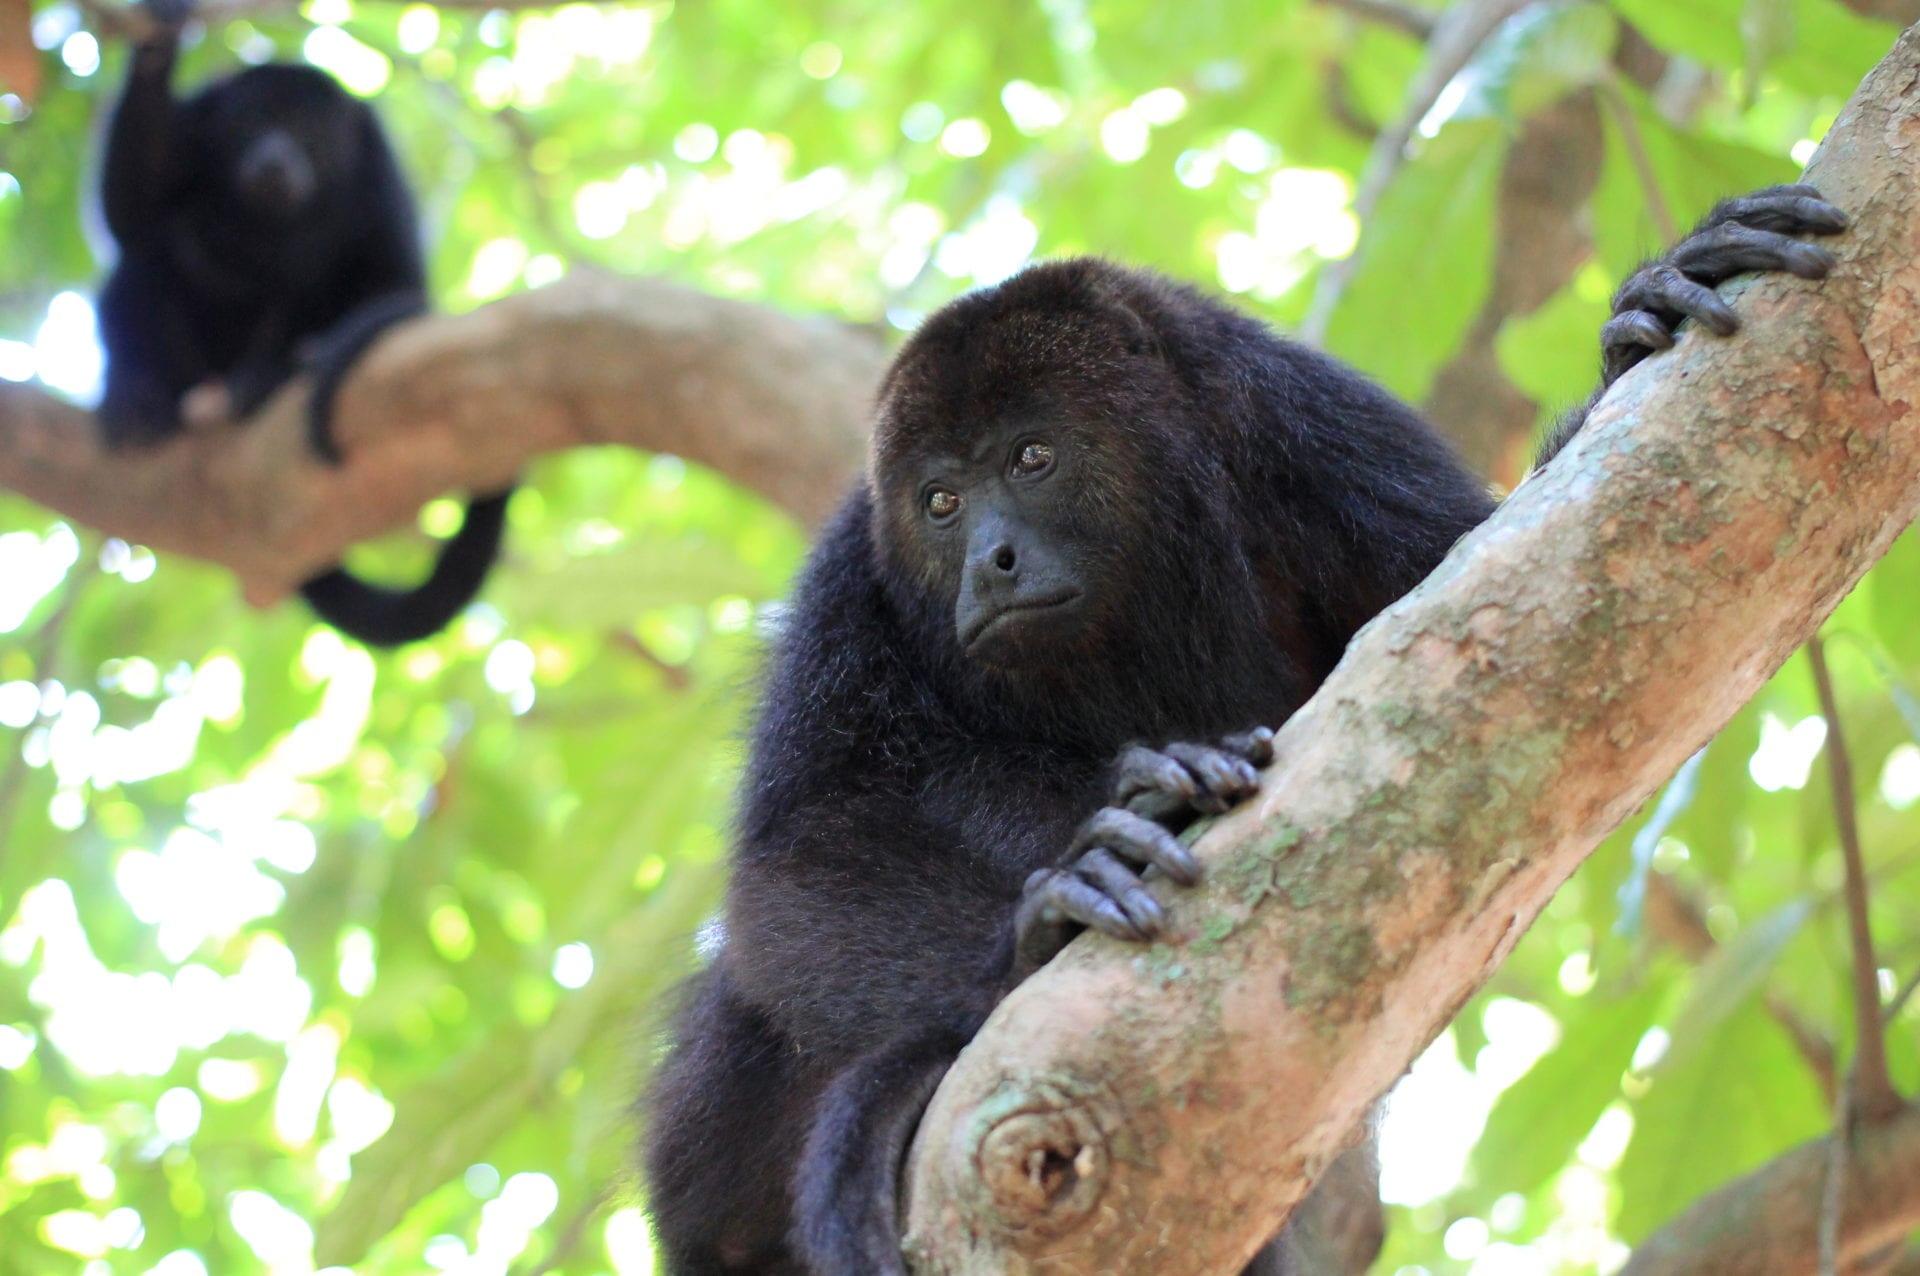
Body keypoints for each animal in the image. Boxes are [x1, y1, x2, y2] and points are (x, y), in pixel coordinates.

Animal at [93, 1, 511, 648]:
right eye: (251, 123)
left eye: (308, 133)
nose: (274, 157)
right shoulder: (197, 122)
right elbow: (131, 213)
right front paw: (160, 36)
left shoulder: (377, 165)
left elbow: (397, 285)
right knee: (149, 261)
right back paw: (136, 392)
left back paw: (268, 377)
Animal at [641, 185, 1847, 1275]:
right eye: (938, 501)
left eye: (1031, 457)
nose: (990, 559)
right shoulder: (852, 576)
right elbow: (792, 876)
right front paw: (1044, 920)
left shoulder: (1304, 425)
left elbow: (1525, 625)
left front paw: (1642, 323)